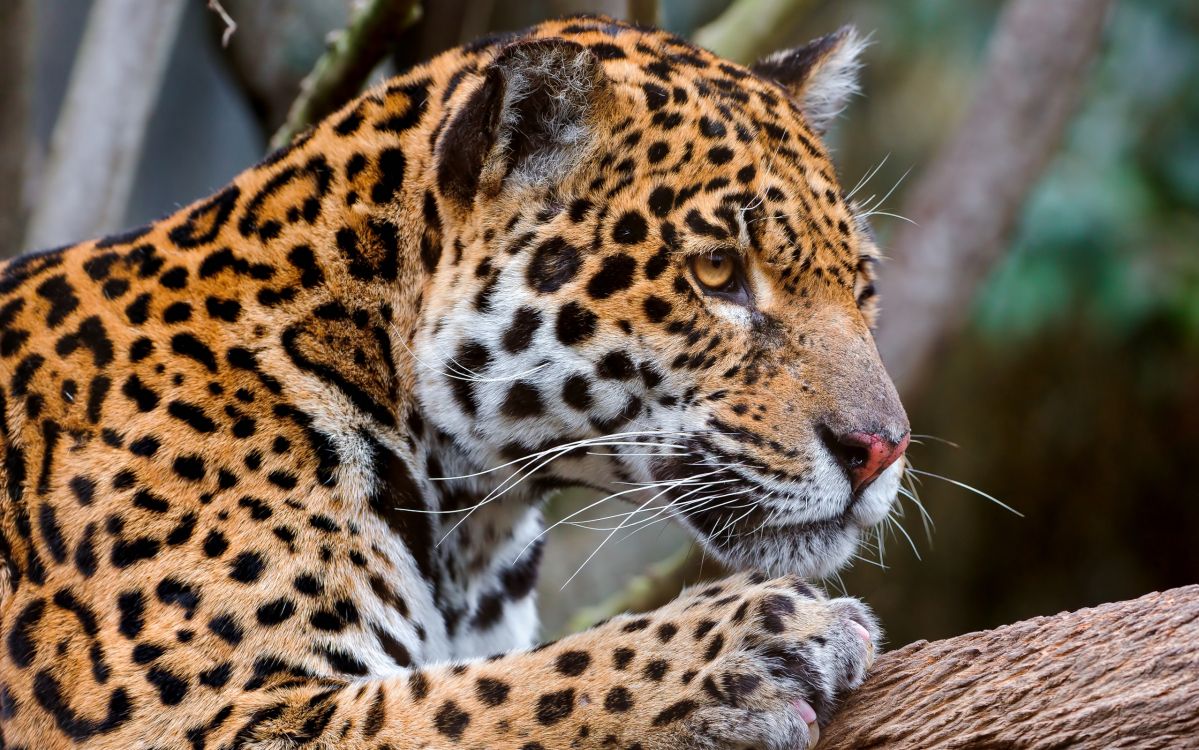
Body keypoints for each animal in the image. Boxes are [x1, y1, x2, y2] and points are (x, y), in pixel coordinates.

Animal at [0, 15, 910, 749]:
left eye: (862, 285)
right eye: (717, 272)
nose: (880, 450)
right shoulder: (198, 717)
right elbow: (487, 696)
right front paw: (742, 646)